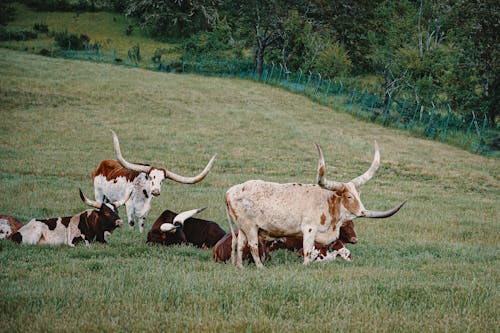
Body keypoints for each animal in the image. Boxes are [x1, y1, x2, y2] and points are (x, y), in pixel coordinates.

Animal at [227, 141, 406, 268]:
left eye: (358, 195)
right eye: (349, 196)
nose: (362, 211)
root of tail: (230, 191)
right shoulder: (309, 229)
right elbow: (307, 251)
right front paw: (305, 266)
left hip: (242, 227)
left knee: (240, 245)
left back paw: (240, 267)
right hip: (250, 227)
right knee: (253, 246)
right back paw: (260, 267)